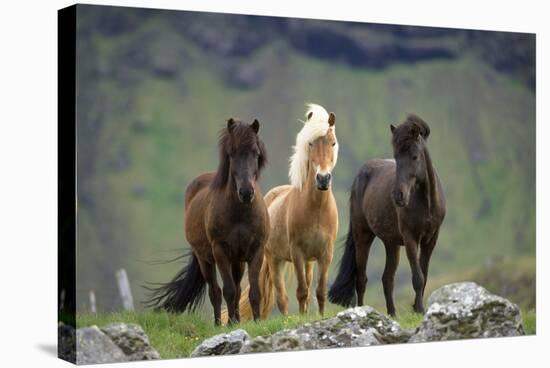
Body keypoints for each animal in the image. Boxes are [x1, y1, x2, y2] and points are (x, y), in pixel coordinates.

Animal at [144, 118, 270, 324]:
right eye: (231, 153)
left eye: (256, 153)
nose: (245, 192)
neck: (240, 215)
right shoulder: (220, 253)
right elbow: (227, 291)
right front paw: (228, 324)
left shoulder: (256, 252)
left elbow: (253, 292)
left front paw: (256, 322)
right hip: (206, 260)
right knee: (216, 292)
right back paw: (219, 323)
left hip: (238, 261)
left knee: (237, 289)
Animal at [225, 103, 340, 322]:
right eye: (311, 143)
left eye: (333, 143)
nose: (323, 179)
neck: (316, 210)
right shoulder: (297, 253)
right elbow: (301, 292)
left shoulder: (325, 254)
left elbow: (320, 292)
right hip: (274, 260)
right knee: (282, 298)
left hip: (309, 262)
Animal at [330, 115, 446, 316]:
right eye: (396, 157)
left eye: (414, 156)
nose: (398, 196)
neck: (426, 203)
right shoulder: (410, 239)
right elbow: (417, 277)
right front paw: (419, 309)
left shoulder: (431, 240)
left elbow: (424, 275)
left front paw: (419, 308)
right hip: (363, 237)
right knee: (361, 279)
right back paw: (362, 310)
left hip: (391, 244)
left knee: (387, 278)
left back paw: (392, 313)